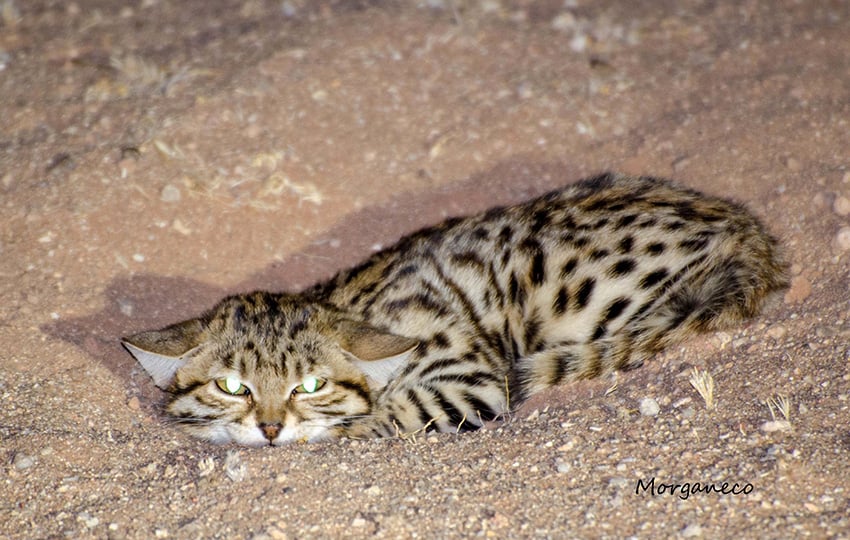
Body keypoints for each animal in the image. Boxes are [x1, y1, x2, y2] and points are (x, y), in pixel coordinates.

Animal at [122, 173, 784, 448]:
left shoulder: (469, 380)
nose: (268, 428)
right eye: (232, 386)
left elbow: (384, 413)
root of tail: (746, 230)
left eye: (309, 385)